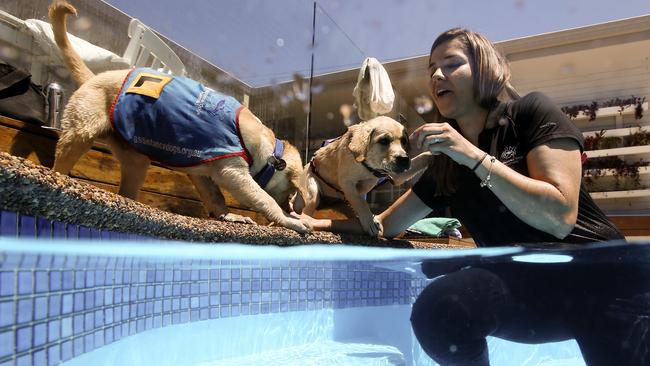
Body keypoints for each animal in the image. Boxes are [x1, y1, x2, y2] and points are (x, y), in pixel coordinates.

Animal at [47, 0, 308, 233]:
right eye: (290, 193)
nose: (292, 209)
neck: (269, 151)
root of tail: (92, 78)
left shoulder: (203, 172)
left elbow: (215, 197)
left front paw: (229, 216)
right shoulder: (233, 173)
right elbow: (264, 198)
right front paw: (289, 220)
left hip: (136, 161)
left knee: (127, 187)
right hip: (80, 134)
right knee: (60, 164)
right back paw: (59, 180)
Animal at [294, 117, 430, 237]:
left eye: (404, 141)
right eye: (384, 141)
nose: (404, 159)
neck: (369, 167)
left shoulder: (396, 177)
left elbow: (422, 157)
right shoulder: (347, 182)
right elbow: (361, 203)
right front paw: (369, 222)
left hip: (343, 206)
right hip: (312, 192)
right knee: (305, 212)